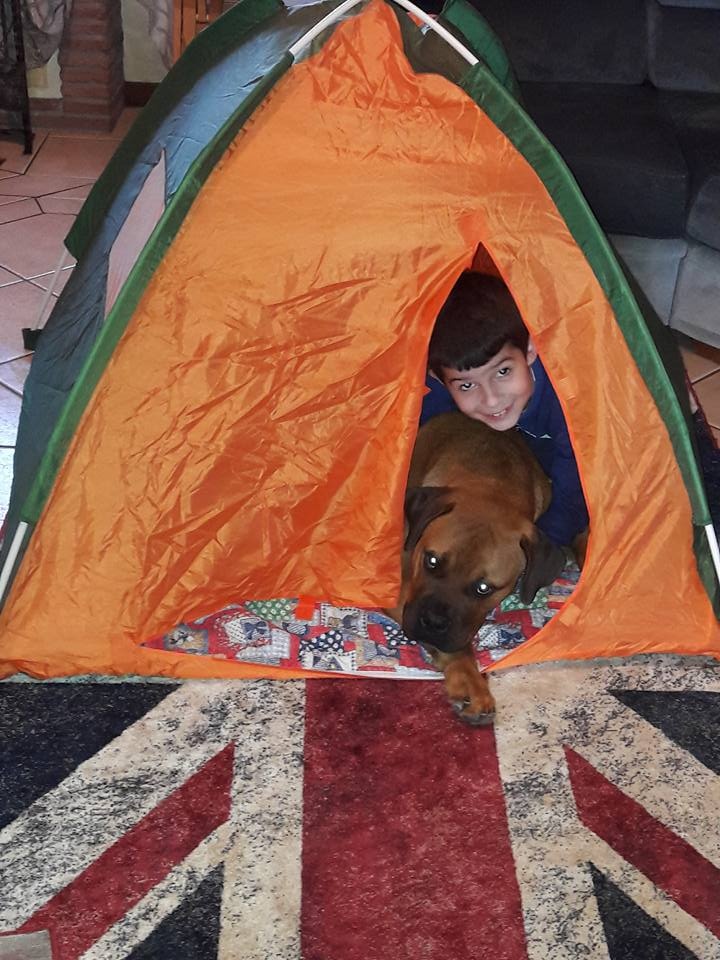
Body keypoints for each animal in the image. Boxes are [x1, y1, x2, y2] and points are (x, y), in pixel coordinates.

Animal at [386, 412, 567, 725]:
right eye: (431, 560)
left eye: (484, 588)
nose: (432, 623)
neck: (494, 484)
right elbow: (460, 647)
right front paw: (469, 680)